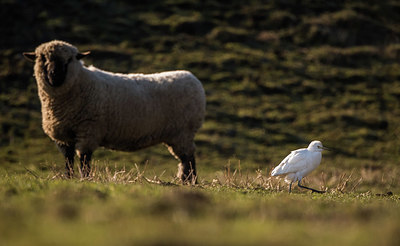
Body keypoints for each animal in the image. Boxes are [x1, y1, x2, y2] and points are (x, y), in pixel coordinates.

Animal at [24, 40, 206, 183]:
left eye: (69, 60)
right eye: (42, 58)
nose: (54, 75)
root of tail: (192, 78)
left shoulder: (88, 130)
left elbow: (84, 159)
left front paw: (85, 179)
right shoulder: (63, 136)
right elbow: (68, 160)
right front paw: (68, 178)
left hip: (183, 132)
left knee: (189, 158)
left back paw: (192, 182)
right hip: (177, 134)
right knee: (184, 159)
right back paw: (186, 180)